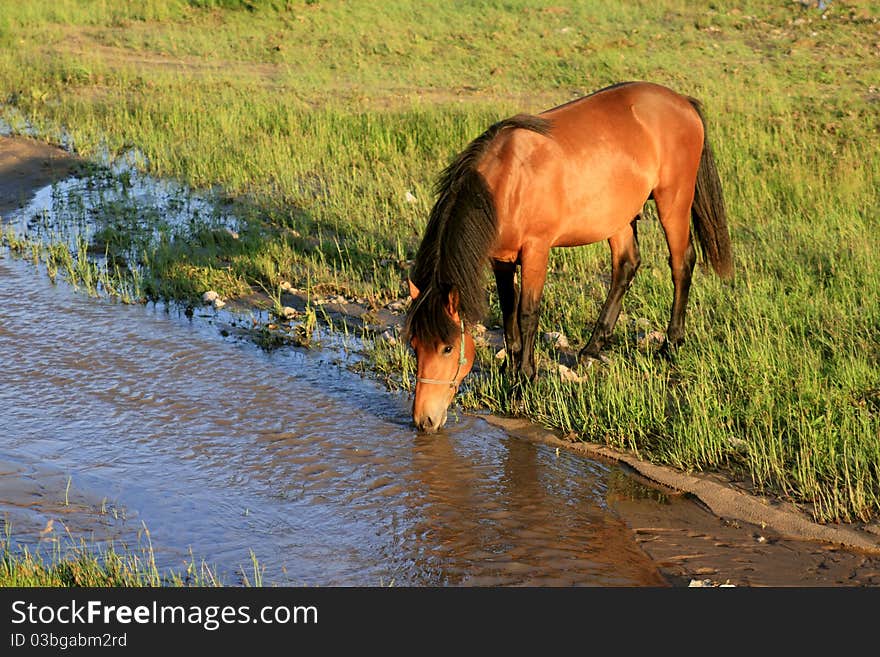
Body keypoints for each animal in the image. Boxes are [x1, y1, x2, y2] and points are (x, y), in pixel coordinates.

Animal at [408, 80, 736, 430]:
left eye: (447, 348)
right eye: (414, 346)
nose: (424, 420)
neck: (507, 182)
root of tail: (683, 103)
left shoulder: (536, 251)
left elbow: (527, 314)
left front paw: (523, 382)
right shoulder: (502, 258)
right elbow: (508, 313)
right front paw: (511, 370)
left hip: (673, 201)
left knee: (681, 263)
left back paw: (671, 344)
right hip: (617, 217)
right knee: (626, 265)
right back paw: (591, 350)